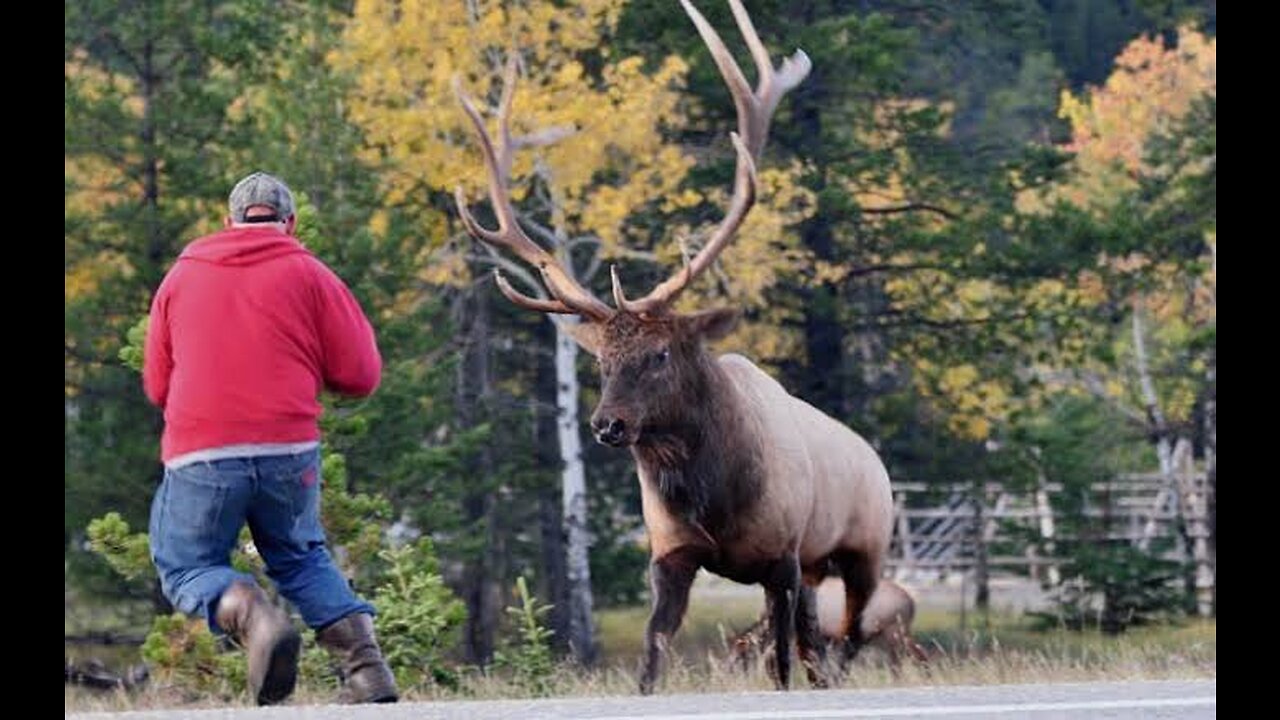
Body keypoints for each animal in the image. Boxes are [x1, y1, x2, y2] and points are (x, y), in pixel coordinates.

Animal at [455, 1, 896, 696]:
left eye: (660, 354)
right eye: (601, 360)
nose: (607, 424)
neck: (714, 496)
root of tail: (875, 459)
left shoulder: (783, 555)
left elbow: (778, 662)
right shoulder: (672, 554)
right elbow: (653, 651)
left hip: (863, 550)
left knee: (844, 639)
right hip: (820, 569)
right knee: (819, 642)